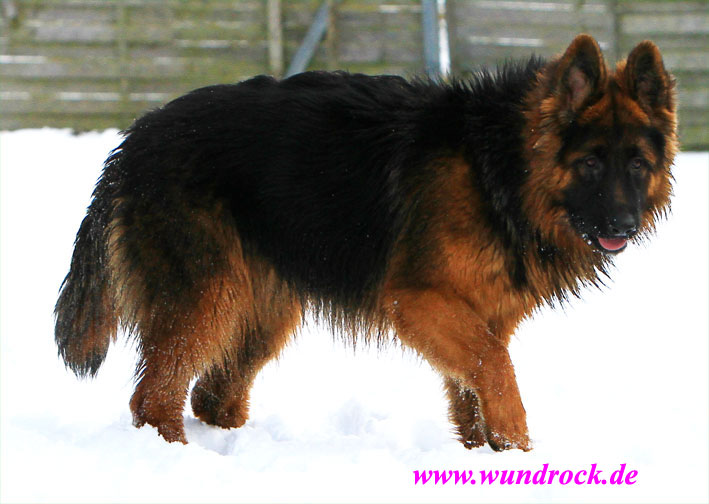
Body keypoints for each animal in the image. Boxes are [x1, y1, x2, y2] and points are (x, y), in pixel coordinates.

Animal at [55, 34, 677, 450]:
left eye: (637, 164)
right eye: (591, 162)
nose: (623, 225)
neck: (496, 168)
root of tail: (136, 137)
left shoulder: (480, 316)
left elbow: (474, 391)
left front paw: (488, 461)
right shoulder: (421, 301)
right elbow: (496, 371)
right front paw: (520, 449)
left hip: (260, 309)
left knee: (212, 394)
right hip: (206, 300)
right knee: (154, 398)